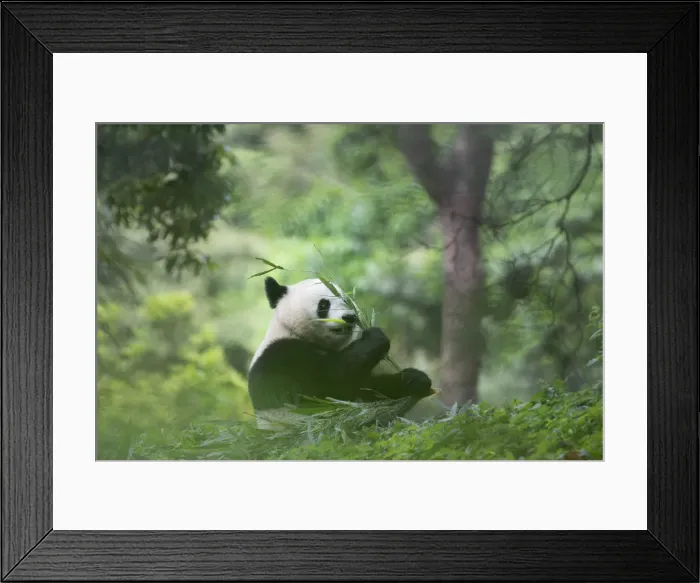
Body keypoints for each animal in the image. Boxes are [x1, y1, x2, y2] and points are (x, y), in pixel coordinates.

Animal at [248, 276, 448, 430]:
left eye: (345, 299)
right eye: (323, 304)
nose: (350, 317)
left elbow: (366, 389)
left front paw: (415, 379)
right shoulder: (282, 356)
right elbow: (330, 383)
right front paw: (376, 337)